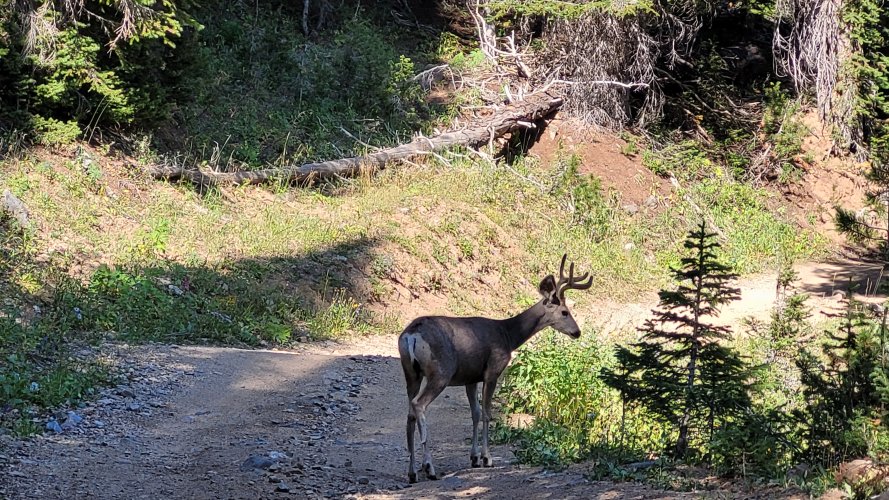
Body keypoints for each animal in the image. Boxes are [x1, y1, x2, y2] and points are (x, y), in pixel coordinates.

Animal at [396, 256, 588, 482]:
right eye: (565, 312)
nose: (577, 332)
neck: (508, 336)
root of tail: (411, 334)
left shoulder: (470, 378)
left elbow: (475, 413)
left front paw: (474, 457)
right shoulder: (493, 370)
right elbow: (487, 413)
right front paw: (487, 458)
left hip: (411, 373)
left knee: (409, 414)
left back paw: (412, 472)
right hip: (440, 372)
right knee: (419, 405)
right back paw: (429, 467)